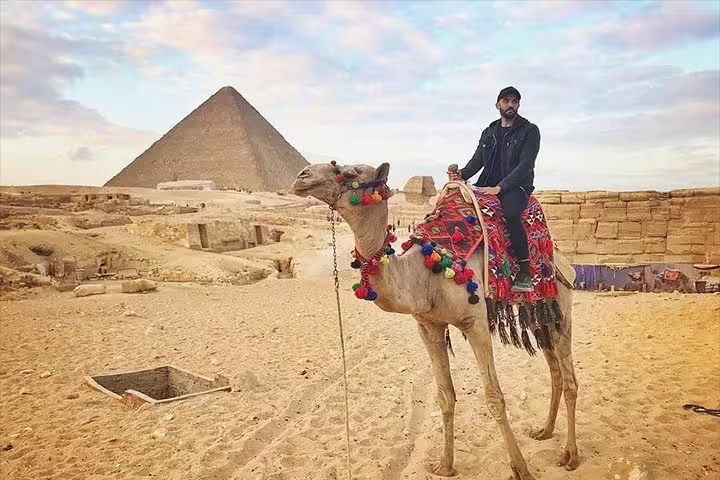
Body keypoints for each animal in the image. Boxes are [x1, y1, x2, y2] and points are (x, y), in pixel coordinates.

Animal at [292, 162, 579, 479]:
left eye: (351, 172)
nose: (302, 176)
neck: (427, 273)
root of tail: (561, 258)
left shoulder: (475, 323)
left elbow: (494, 397)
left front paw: (521, 469)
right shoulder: (428, 325)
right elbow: (445, 396)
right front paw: (445, 464)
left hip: (561, 305)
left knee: (570, 380)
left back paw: (570, 455)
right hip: (541, 316)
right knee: (555, 372)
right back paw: (544, 431)